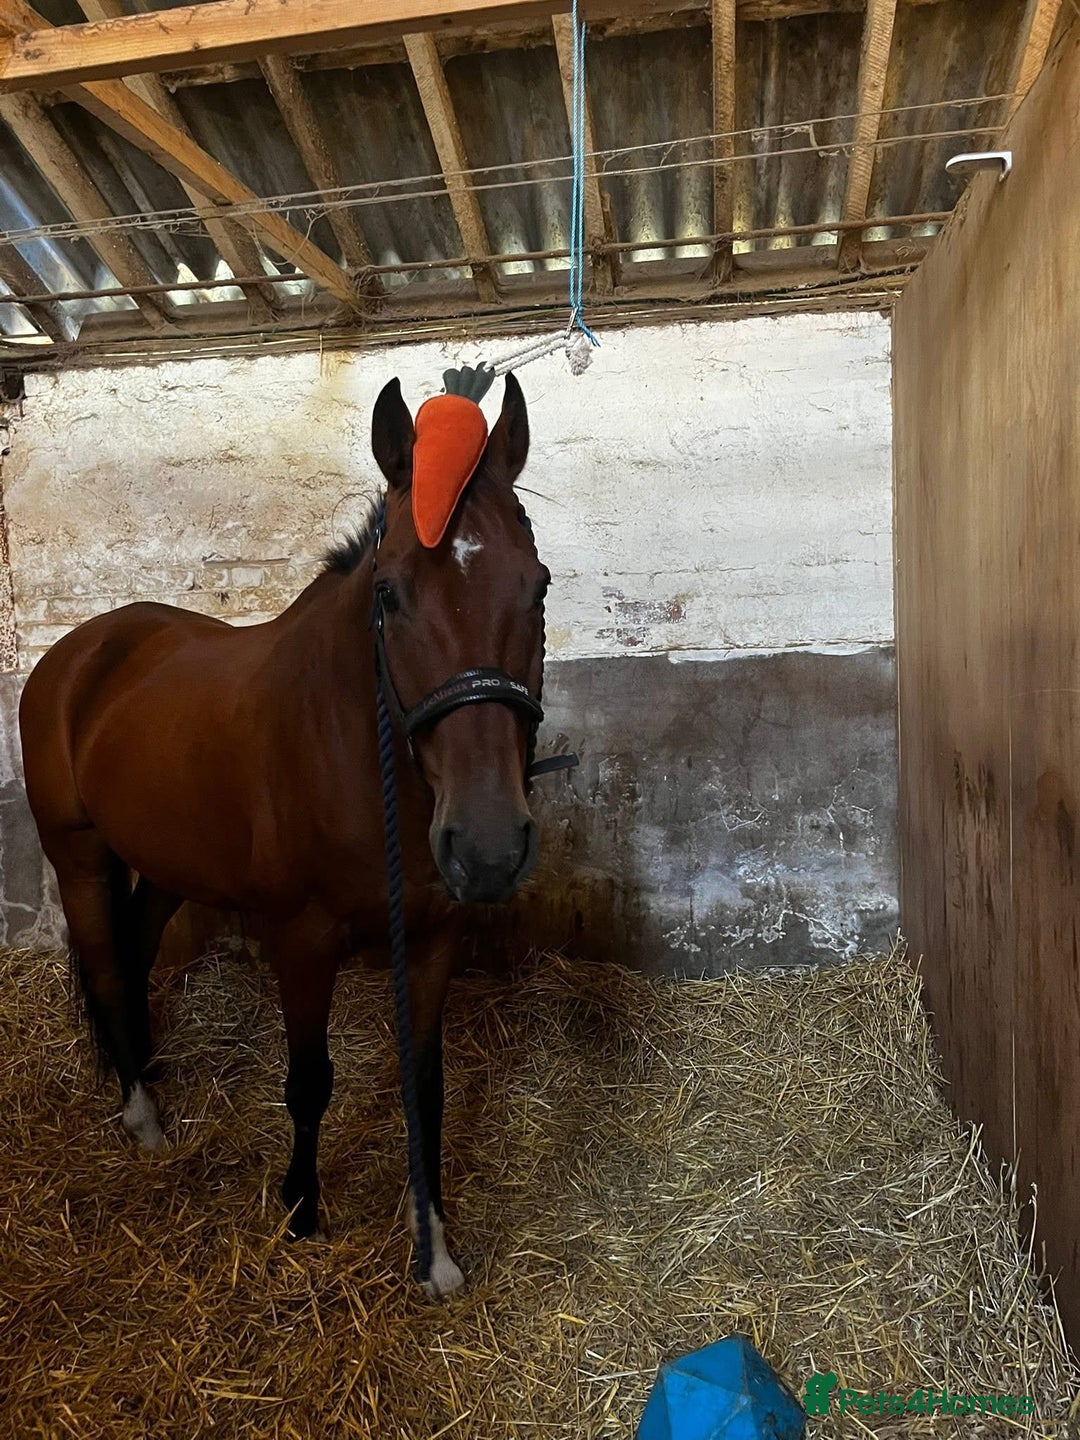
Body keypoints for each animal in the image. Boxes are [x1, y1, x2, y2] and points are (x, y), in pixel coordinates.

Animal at [19, 372, 551, 1298]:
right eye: (389, 594)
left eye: (540, 586)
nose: (486, 848)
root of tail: (79, 651)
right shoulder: (301, 940)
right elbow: (309, 1082)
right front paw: (302, 1210)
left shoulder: (433, 938)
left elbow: (426, 1086)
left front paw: (434, 1247)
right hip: (78, 855)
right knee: (108, 968)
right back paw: (142, 1114)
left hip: (169, 863)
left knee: (134, 947)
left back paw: (149, 1068)